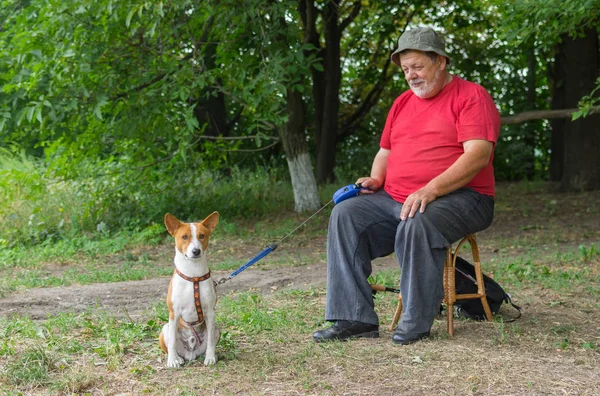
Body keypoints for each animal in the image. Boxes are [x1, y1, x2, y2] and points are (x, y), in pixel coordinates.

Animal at [159, 212, 220, 366]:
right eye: (185, 237)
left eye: (202, 236)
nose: (196, 251)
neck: (194, 276)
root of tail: (191, 353)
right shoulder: (174, 313)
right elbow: (172, 342)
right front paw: (172, 361)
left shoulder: (210, 312)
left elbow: (210, 341)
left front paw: (210, 357)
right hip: (165, 328)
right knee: (171, 344)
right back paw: (177, 358)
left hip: (217, 327)